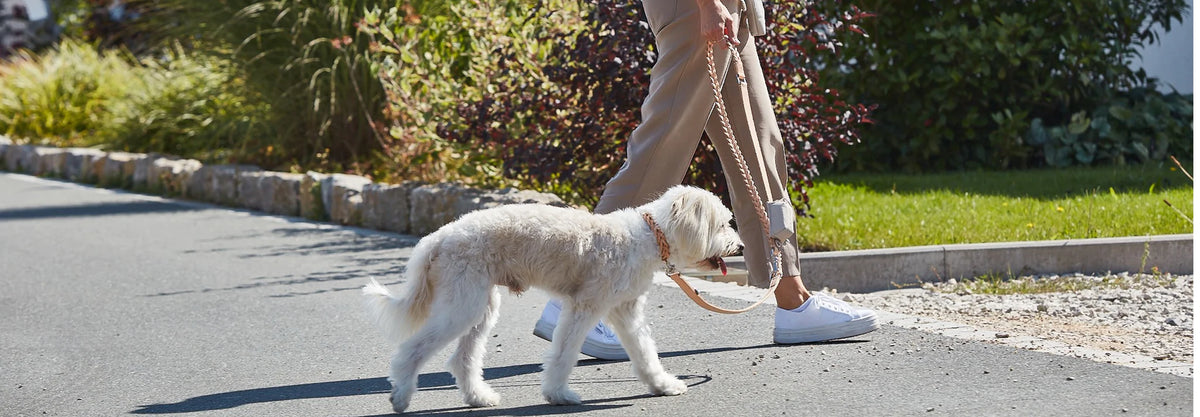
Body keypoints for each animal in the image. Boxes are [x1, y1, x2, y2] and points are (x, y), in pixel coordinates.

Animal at [360, 186, 744, 414]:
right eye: (723, 224)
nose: (740, 247)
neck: (649, 236)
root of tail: (438, 237)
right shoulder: (584, 307)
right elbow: (564, 354)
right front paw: (559, 394)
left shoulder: (625, 311)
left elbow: (645, 353)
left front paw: (661, 385)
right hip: (463, 306)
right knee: (411, 350)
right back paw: (401, 395)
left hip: (479, 307)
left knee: (462, 360)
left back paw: (478, 397)